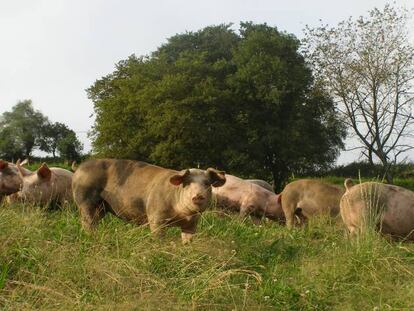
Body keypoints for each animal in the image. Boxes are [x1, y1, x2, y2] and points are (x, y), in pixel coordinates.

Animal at [71, 160, 226, 245]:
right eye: (186, 183)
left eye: (207, 183)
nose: (198, 196)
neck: (182, 214)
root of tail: (79, 168)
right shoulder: (156, 217)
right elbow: (158, 237)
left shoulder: (191, 224)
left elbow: (187, 240)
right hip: (85, 201)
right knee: (87, 222)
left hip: (102, 208)